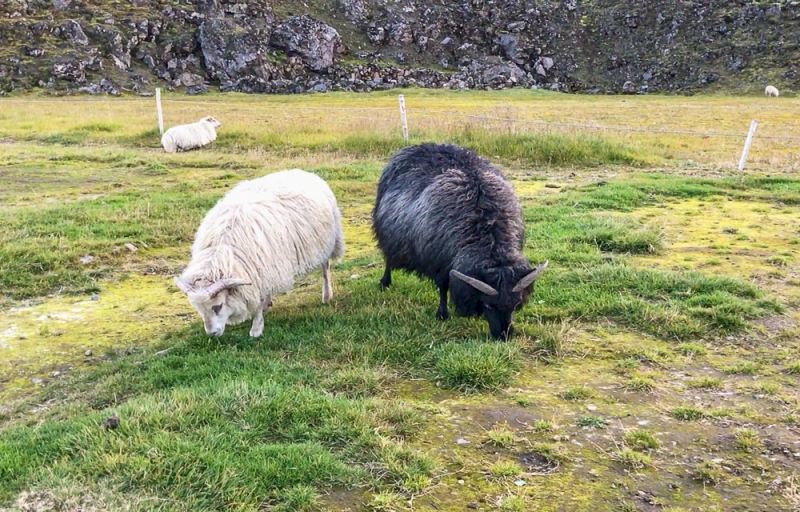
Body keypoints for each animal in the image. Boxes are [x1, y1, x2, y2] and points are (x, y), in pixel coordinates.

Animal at [175, 168, 344, 336]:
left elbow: (258, 302)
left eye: (218, 306)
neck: (222, 250)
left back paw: (327, 295)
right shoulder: (261, 269)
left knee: (325, 267)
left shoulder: (260, 271)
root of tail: (303, 172)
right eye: (199, 309)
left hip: (325, 241)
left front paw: (256, 328)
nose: (212, 334)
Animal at [372, 143, 548, 340]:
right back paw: (385, 282)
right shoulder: (439, 262)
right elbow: (443, 288)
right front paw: (442, 315)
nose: (504, 336)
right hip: (386, 233)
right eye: (488, 305)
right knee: (388, 258)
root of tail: (424, 144)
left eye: (515, 304)